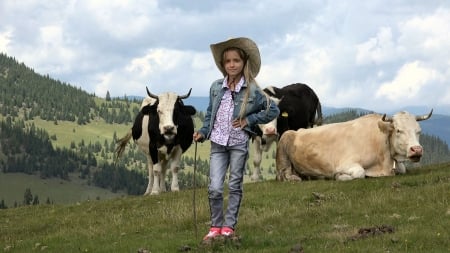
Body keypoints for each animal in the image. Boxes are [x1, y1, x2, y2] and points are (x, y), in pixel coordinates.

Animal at [276, 109, 434, 181]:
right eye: (399, 130)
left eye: (418, 131)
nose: (416, 150)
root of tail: (298, 131)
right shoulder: (346, 163)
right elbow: (360, 173)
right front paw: (340, 177)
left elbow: (403, 169)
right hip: (284, 144)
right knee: (284, 173)